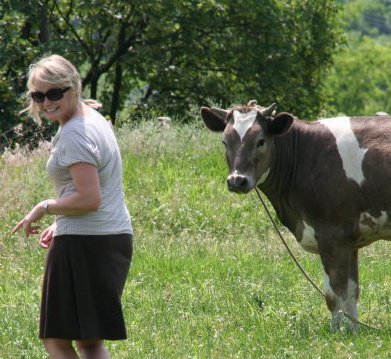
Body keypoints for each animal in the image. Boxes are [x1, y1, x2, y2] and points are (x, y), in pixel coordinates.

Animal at [202, 100, 391, 332]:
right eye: (224, 142)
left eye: (260, 141)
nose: (237, 180)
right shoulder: (351, 238)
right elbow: (351, 292)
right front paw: (353, 330)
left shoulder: (332, 234)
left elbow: (334, 294)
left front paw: (337, 332)